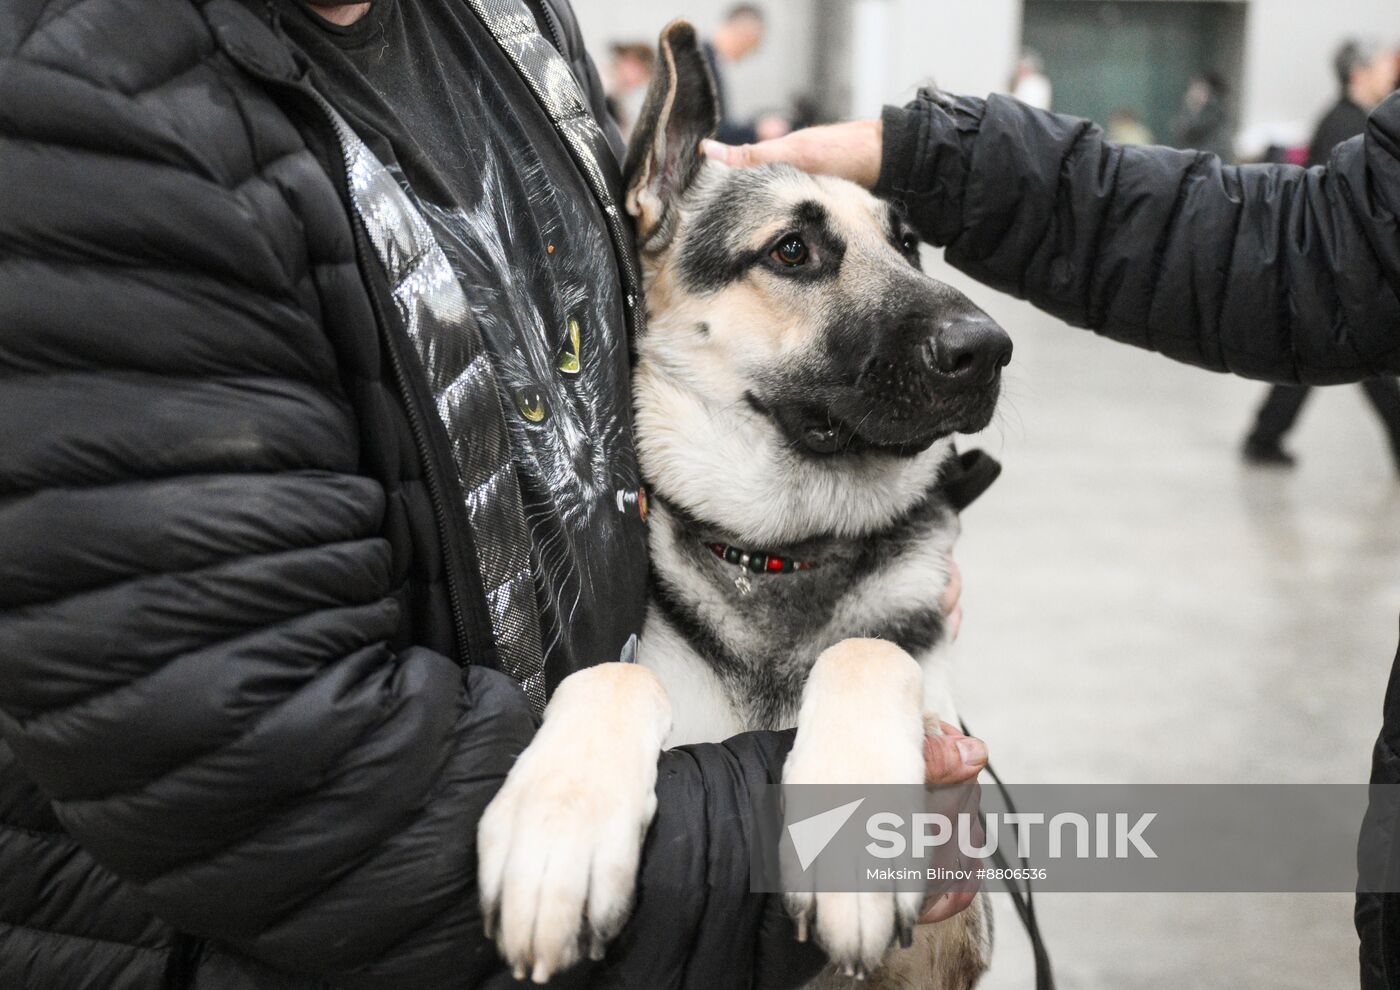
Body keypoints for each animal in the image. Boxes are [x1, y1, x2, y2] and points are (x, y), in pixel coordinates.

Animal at [476, 23, 1013, 990]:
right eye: (793, 250)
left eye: (909, 248)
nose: (990, 348)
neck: (784, 548)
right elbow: (614, 672)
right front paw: (558, 823)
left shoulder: (951, 911)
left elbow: (868, 651)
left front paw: (852, 834)